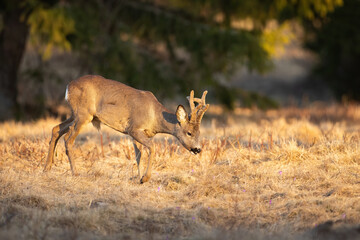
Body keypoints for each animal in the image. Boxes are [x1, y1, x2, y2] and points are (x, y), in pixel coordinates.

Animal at [43, 76, 210, 183]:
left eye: (199, 133)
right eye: (189, 133)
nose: (198, 149)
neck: (155, 117)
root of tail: (68, 87)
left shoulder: (140, 133)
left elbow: (138, 155)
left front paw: (138, 178)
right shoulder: (133, 128)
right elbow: (151, 147)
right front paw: (145, 178)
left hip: (76, 114)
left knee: (55, 129)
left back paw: (47, 168)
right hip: (84, 114)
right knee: (68, 139)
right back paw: (75, 173)